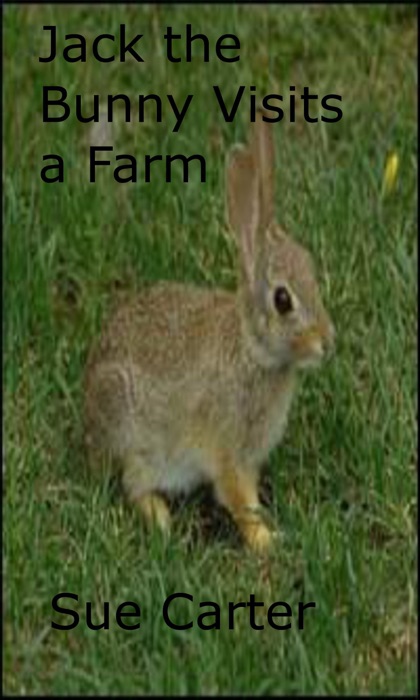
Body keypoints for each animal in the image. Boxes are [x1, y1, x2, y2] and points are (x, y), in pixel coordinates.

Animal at [83, 108, 334, 552]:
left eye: (311, 269)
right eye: (282, 300)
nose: (326, 343)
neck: (251, 351)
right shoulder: (227, 449)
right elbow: (239, 499)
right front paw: (268, 540)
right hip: (135, 434)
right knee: (134, 485)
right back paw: (164, 522)